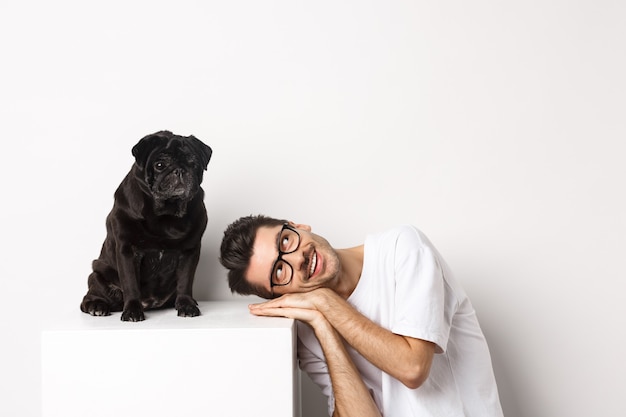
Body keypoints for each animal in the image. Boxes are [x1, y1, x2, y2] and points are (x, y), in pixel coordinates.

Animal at [80, 130, 212, 322]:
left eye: (193, 164)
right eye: (159, 165)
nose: (179, 170)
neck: (166, 213)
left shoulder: (189, 251)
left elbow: (185, 281)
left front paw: (186, 305)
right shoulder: (127, 251)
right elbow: (131, 284)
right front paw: (132, 311)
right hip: (98, 275)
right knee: (89, 297)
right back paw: (97, 306)